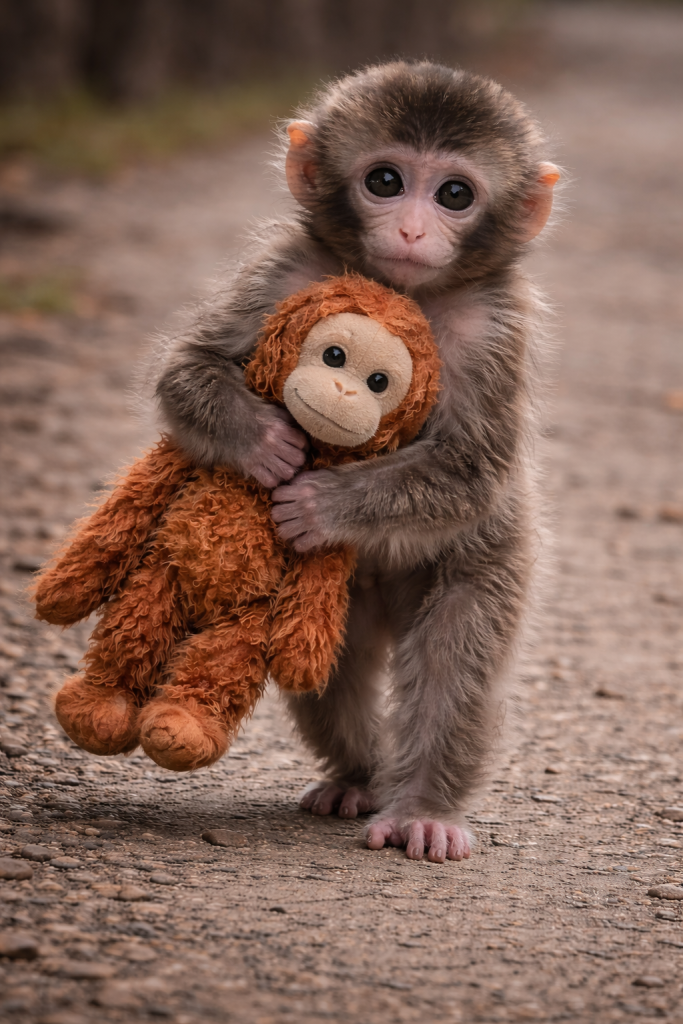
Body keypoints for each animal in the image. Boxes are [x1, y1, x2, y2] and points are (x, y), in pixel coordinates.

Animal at [155, 61, 560, 863]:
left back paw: (422, 809)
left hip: (486, 564)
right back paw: (360, 776)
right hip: (335, 596)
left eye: (455, 194)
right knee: (331, 673)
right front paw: (263, 442)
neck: (403, 293)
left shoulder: (498, 326)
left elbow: (473, 471)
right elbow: (187, 371)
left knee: (454, 657)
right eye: (385, 180)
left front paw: (319, 504)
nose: (410, 228)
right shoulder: (285, 269)